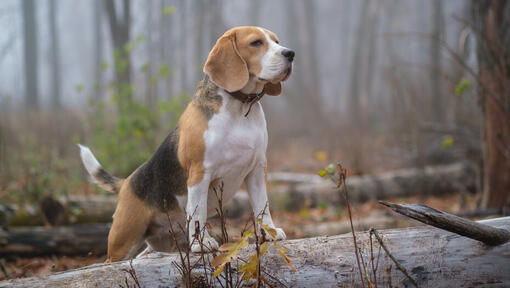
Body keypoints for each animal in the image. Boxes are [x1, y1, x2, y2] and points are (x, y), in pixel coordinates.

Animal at [79, 25, 294, 262]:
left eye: (276, 41)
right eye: (256, 43)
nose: (290, 53)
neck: (239, 109)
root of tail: (126, 182)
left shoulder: (256, 170)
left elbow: (262, 206)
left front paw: (269, 232)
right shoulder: (200, 174)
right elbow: (198, 212)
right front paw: (202, 243)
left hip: (160, 241)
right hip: (123, 240)